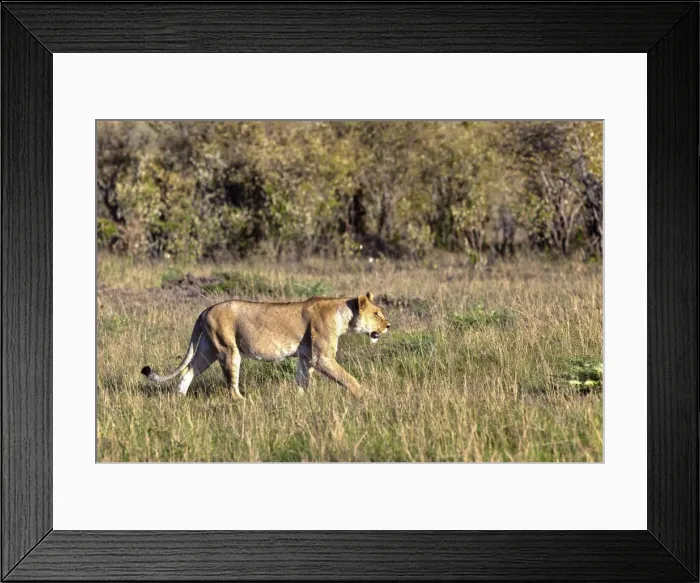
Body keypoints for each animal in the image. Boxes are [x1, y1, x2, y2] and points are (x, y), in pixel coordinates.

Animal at [141, 292, 390, 399]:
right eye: (377, 313)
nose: (389, 325)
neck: (343, 315)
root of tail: (205, 310)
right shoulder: (322, 358)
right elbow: (348, 378)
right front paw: (366, 396)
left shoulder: (306, 357)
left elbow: (302, 380)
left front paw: (300, 400)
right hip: (228, 350)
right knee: (231, 386)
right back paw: (243, 402)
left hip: (207, 350)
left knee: (189, 370)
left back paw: (180, 397)